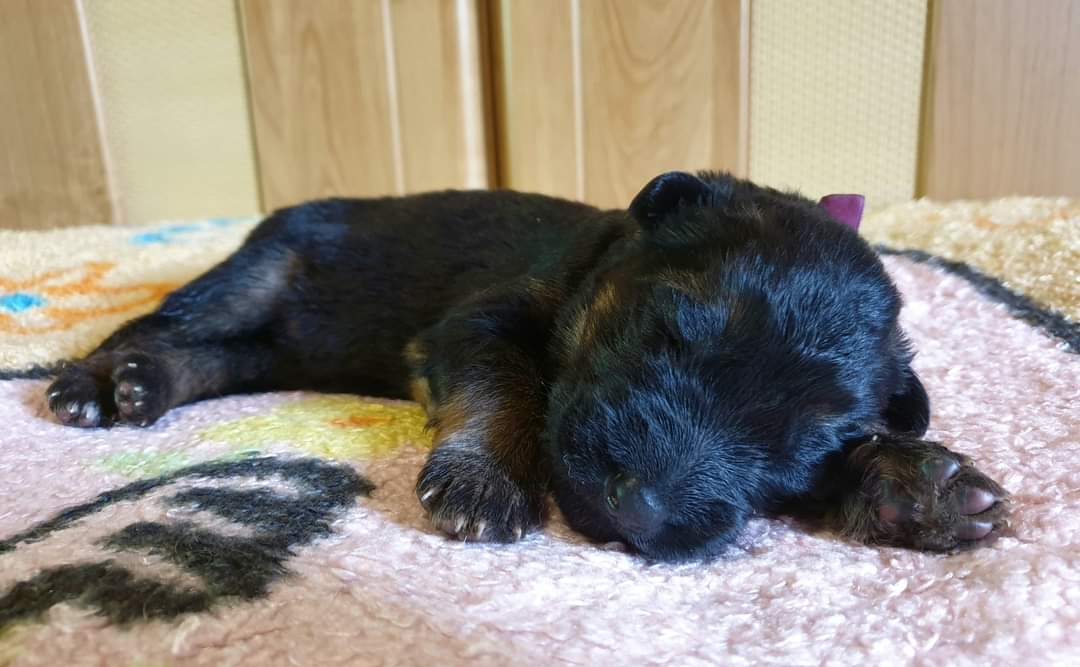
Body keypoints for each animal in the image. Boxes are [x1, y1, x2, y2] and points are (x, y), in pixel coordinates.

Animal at [46, 171, 1008, 562]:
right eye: (669, 331)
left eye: (801, 448)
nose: (643, 510)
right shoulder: (476, 322)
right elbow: (512, 386)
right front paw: (485, 482)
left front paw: (919, 483)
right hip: (261, 269)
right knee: (161, 322)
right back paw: (105, 382)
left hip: (283, 343)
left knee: (219, 359)